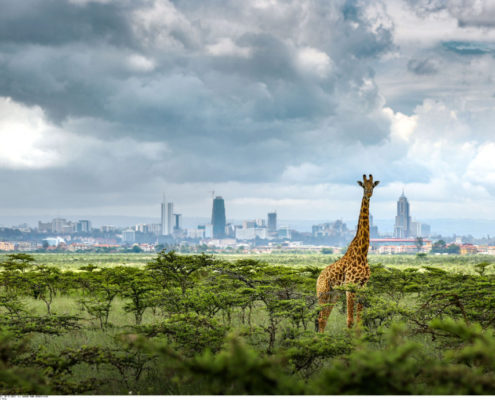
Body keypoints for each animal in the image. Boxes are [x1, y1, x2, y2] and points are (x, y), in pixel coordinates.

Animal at [316, 174, 382, 332]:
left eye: (373, 185)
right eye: (363, 186)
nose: (369, 193)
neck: (363, 253)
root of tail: (318, 277)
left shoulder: (362, 287)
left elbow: (359, 320)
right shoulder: (350, 287)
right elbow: (350, 320)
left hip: (334, 294)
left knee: (324, 318)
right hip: (322, 292)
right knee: (320, 318)